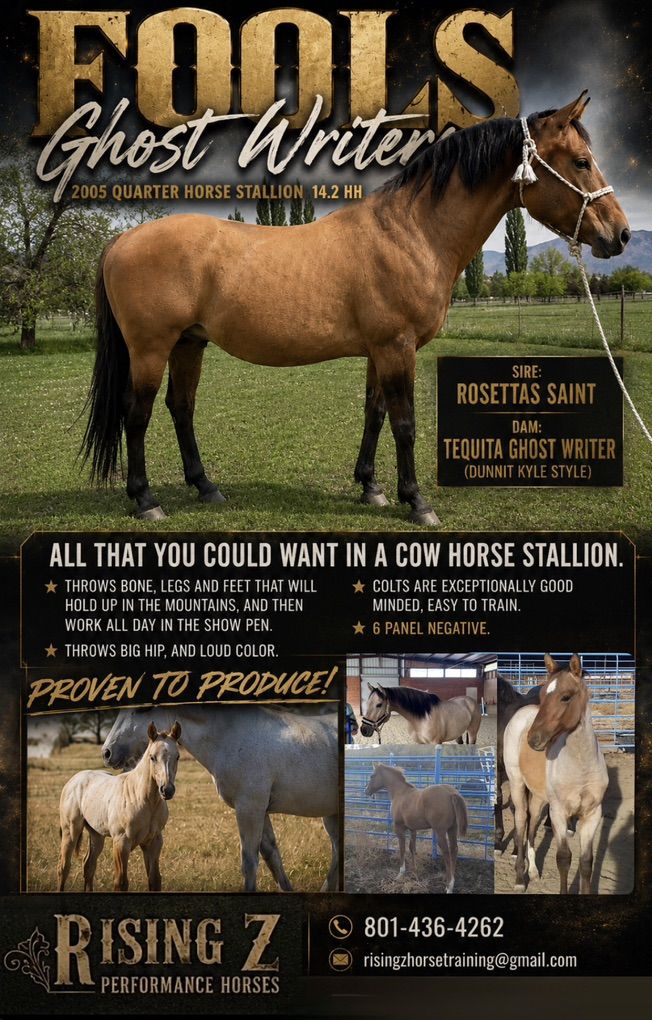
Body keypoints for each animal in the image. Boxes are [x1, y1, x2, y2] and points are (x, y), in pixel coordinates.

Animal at [58, 722, 181, 892]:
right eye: (152, 757)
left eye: (177, 756)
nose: (167, 790)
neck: (143, 799)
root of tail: (73, 780)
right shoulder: (121, 842)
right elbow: (121, 882)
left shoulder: (154, 842)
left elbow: (155, 880)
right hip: (70, 830)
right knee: (64, 867)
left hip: (96, 834)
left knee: (88, 865)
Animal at [81, 92, 629, 524]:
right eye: (581, 161)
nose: (621, 234)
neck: (411, 232)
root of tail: (121, 240)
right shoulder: (397, 347)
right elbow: (405, 424)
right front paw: (417, 503)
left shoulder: (380, 350)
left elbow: (375, 413)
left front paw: (372, 488)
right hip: (151, 348)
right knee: (136, 414)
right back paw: (146, 500)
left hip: (189, 344)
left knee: (181, 408)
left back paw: (206, 487)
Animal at [102, 704, 338, 893]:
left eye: (143, 709)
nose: (107, 752)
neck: (230, 736)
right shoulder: (259, 811)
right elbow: (271, 856)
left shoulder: (250, 809)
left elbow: (249, 862)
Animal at [365, 763, 468, 893]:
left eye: (372, 776)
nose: (366, 791)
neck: (400, 793)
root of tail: (451, 792)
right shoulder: (412, 829)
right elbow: (412, 848)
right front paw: (414, 872)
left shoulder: (399, 828)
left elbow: (402, 848)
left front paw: (401, 874)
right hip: (452, 829)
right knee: (454, 849)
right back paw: (451, 882)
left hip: (440, 831)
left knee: (446, 852)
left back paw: (449, 886)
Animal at [503, 655, 608, 893]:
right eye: (543, 695)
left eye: (566, 697)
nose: (533, 739)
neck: (581, 767)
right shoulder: (559, 813)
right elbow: (564, 858)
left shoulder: (592, 814)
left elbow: (586, 862)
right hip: (516, 783)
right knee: (521, 821)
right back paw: (520, 878)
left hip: (540, 797)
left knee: (532, 823)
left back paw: (533, 871)